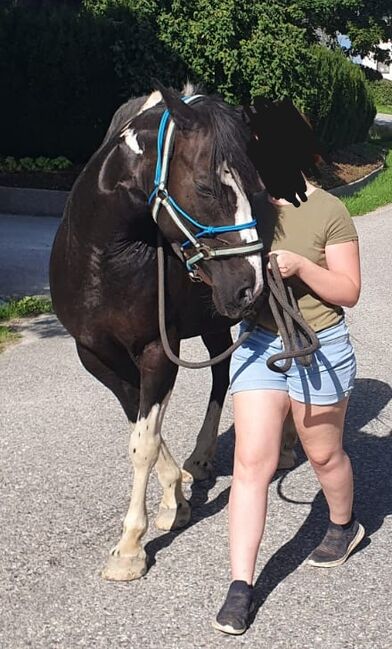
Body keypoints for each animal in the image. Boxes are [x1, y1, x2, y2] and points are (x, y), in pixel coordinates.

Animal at [49, 82, 318, 584]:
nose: (249, 284)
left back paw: (275, 448)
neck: (102, 260)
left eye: (250, 185)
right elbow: (140, 425)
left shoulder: (158, 349)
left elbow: (144, 444)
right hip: (215, 321)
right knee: (224, 373)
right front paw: (175, 499)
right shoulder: (96, 355)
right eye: (206, 186)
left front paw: (130, 549)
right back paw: (199, 462)